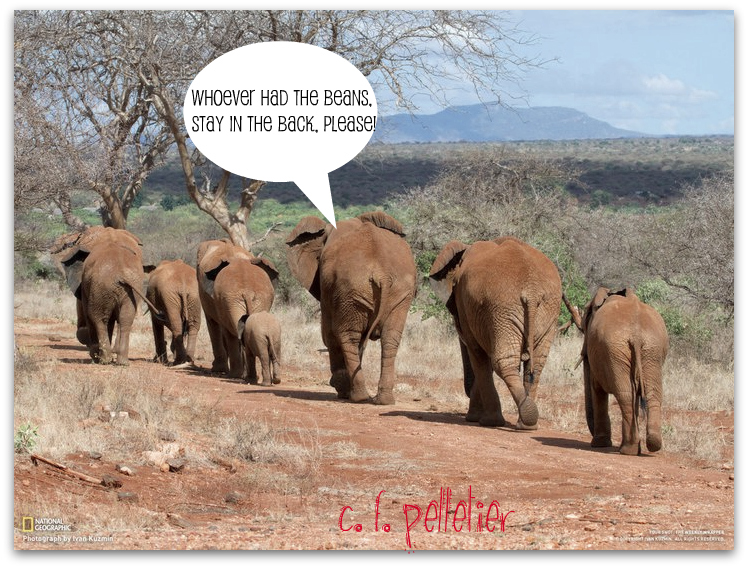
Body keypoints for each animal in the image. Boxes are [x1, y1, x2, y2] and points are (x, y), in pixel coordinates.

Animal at [52, 226, 157, 365]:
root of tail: (120, 274)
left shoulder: (85, 283)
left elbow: (88, 313)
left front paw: (94, 353)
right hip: (129, 288)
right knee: (125, 318)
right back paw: (121, 361)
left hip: (101, 286)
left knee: (98, 317)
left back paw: (103, 359)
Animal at [196, 239, 278, 378]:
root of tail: (247, 291)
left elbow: (213, 324)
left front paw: (218, 369)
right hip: (257, 299)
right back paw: (248, 376)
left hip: (230, 300)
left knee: (230, 331)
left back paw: (235, 374)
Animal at [286, 211, 417, 405]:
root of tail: (382, 274)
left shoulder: (329, 291)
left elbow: (328, 334)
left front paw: (340, 387)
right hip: (396, 293)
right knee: (389, 338)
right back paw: (381, 400)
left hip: (349, 289)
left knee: (348, 336)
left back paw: (357, 397)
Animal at [429, 236, 562, 429]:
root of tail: (531, 290)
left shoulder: (468, 307)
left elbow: (477, 354)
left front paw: (480, 420)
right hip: (545, 310)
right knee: (536, 363)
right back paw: (527, 423)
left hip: (503, 308)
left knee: (503, 361)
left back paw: (507, 420)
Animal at [581, 287, 669, 455]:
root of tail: (637, 335)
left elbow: (597, 388)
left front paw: (599, 444)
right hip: (651, 350)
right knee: (650, 394)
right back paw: (651, 444)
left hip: (616, 349)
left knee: (626, 395)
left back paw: (628, 449)